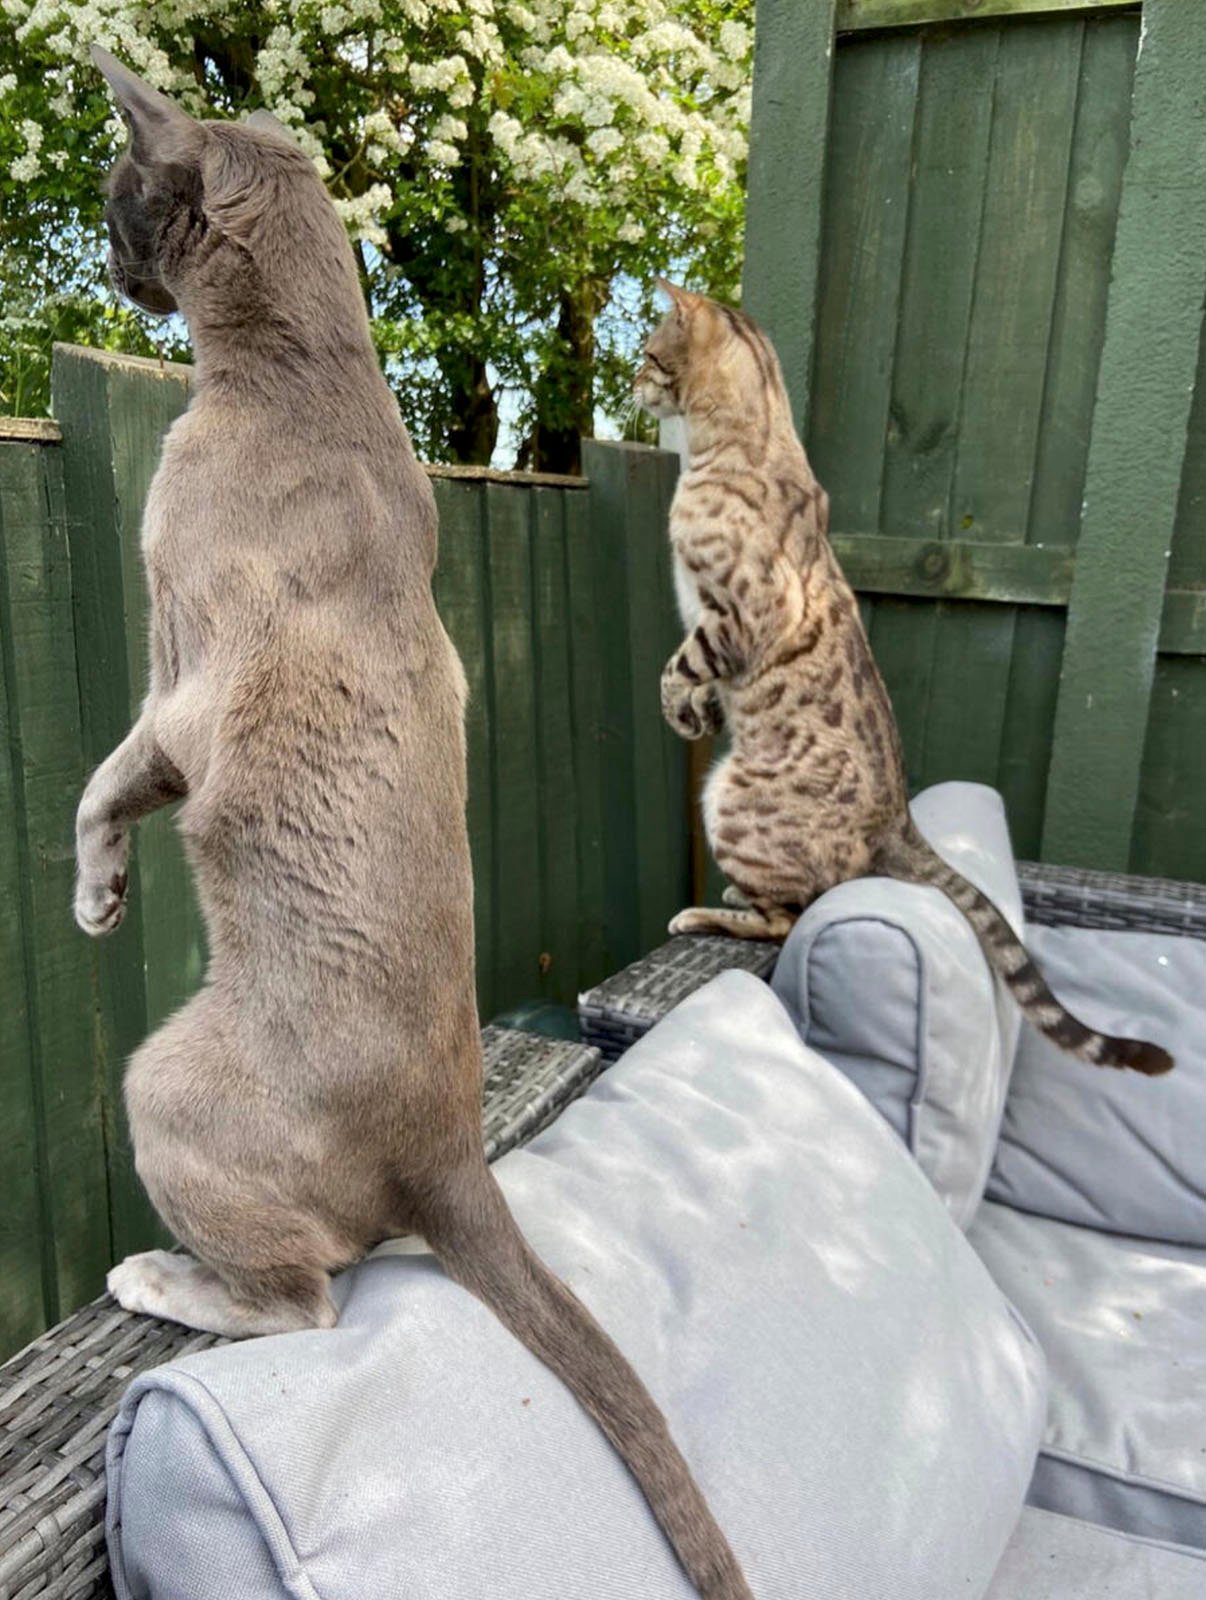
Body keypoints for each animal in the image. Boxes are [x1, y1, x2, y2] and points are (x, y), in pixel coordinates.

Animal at [72, 50, 751, 1600]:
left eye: (122, 192)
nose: (116, 258)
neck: (306, 370)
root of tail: (451, 1147)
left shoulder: (174, 688)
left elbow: (99, 782)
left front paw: (92, 899)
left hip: (162, 1085)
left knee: (307, 1303)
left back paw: (158, 1276)